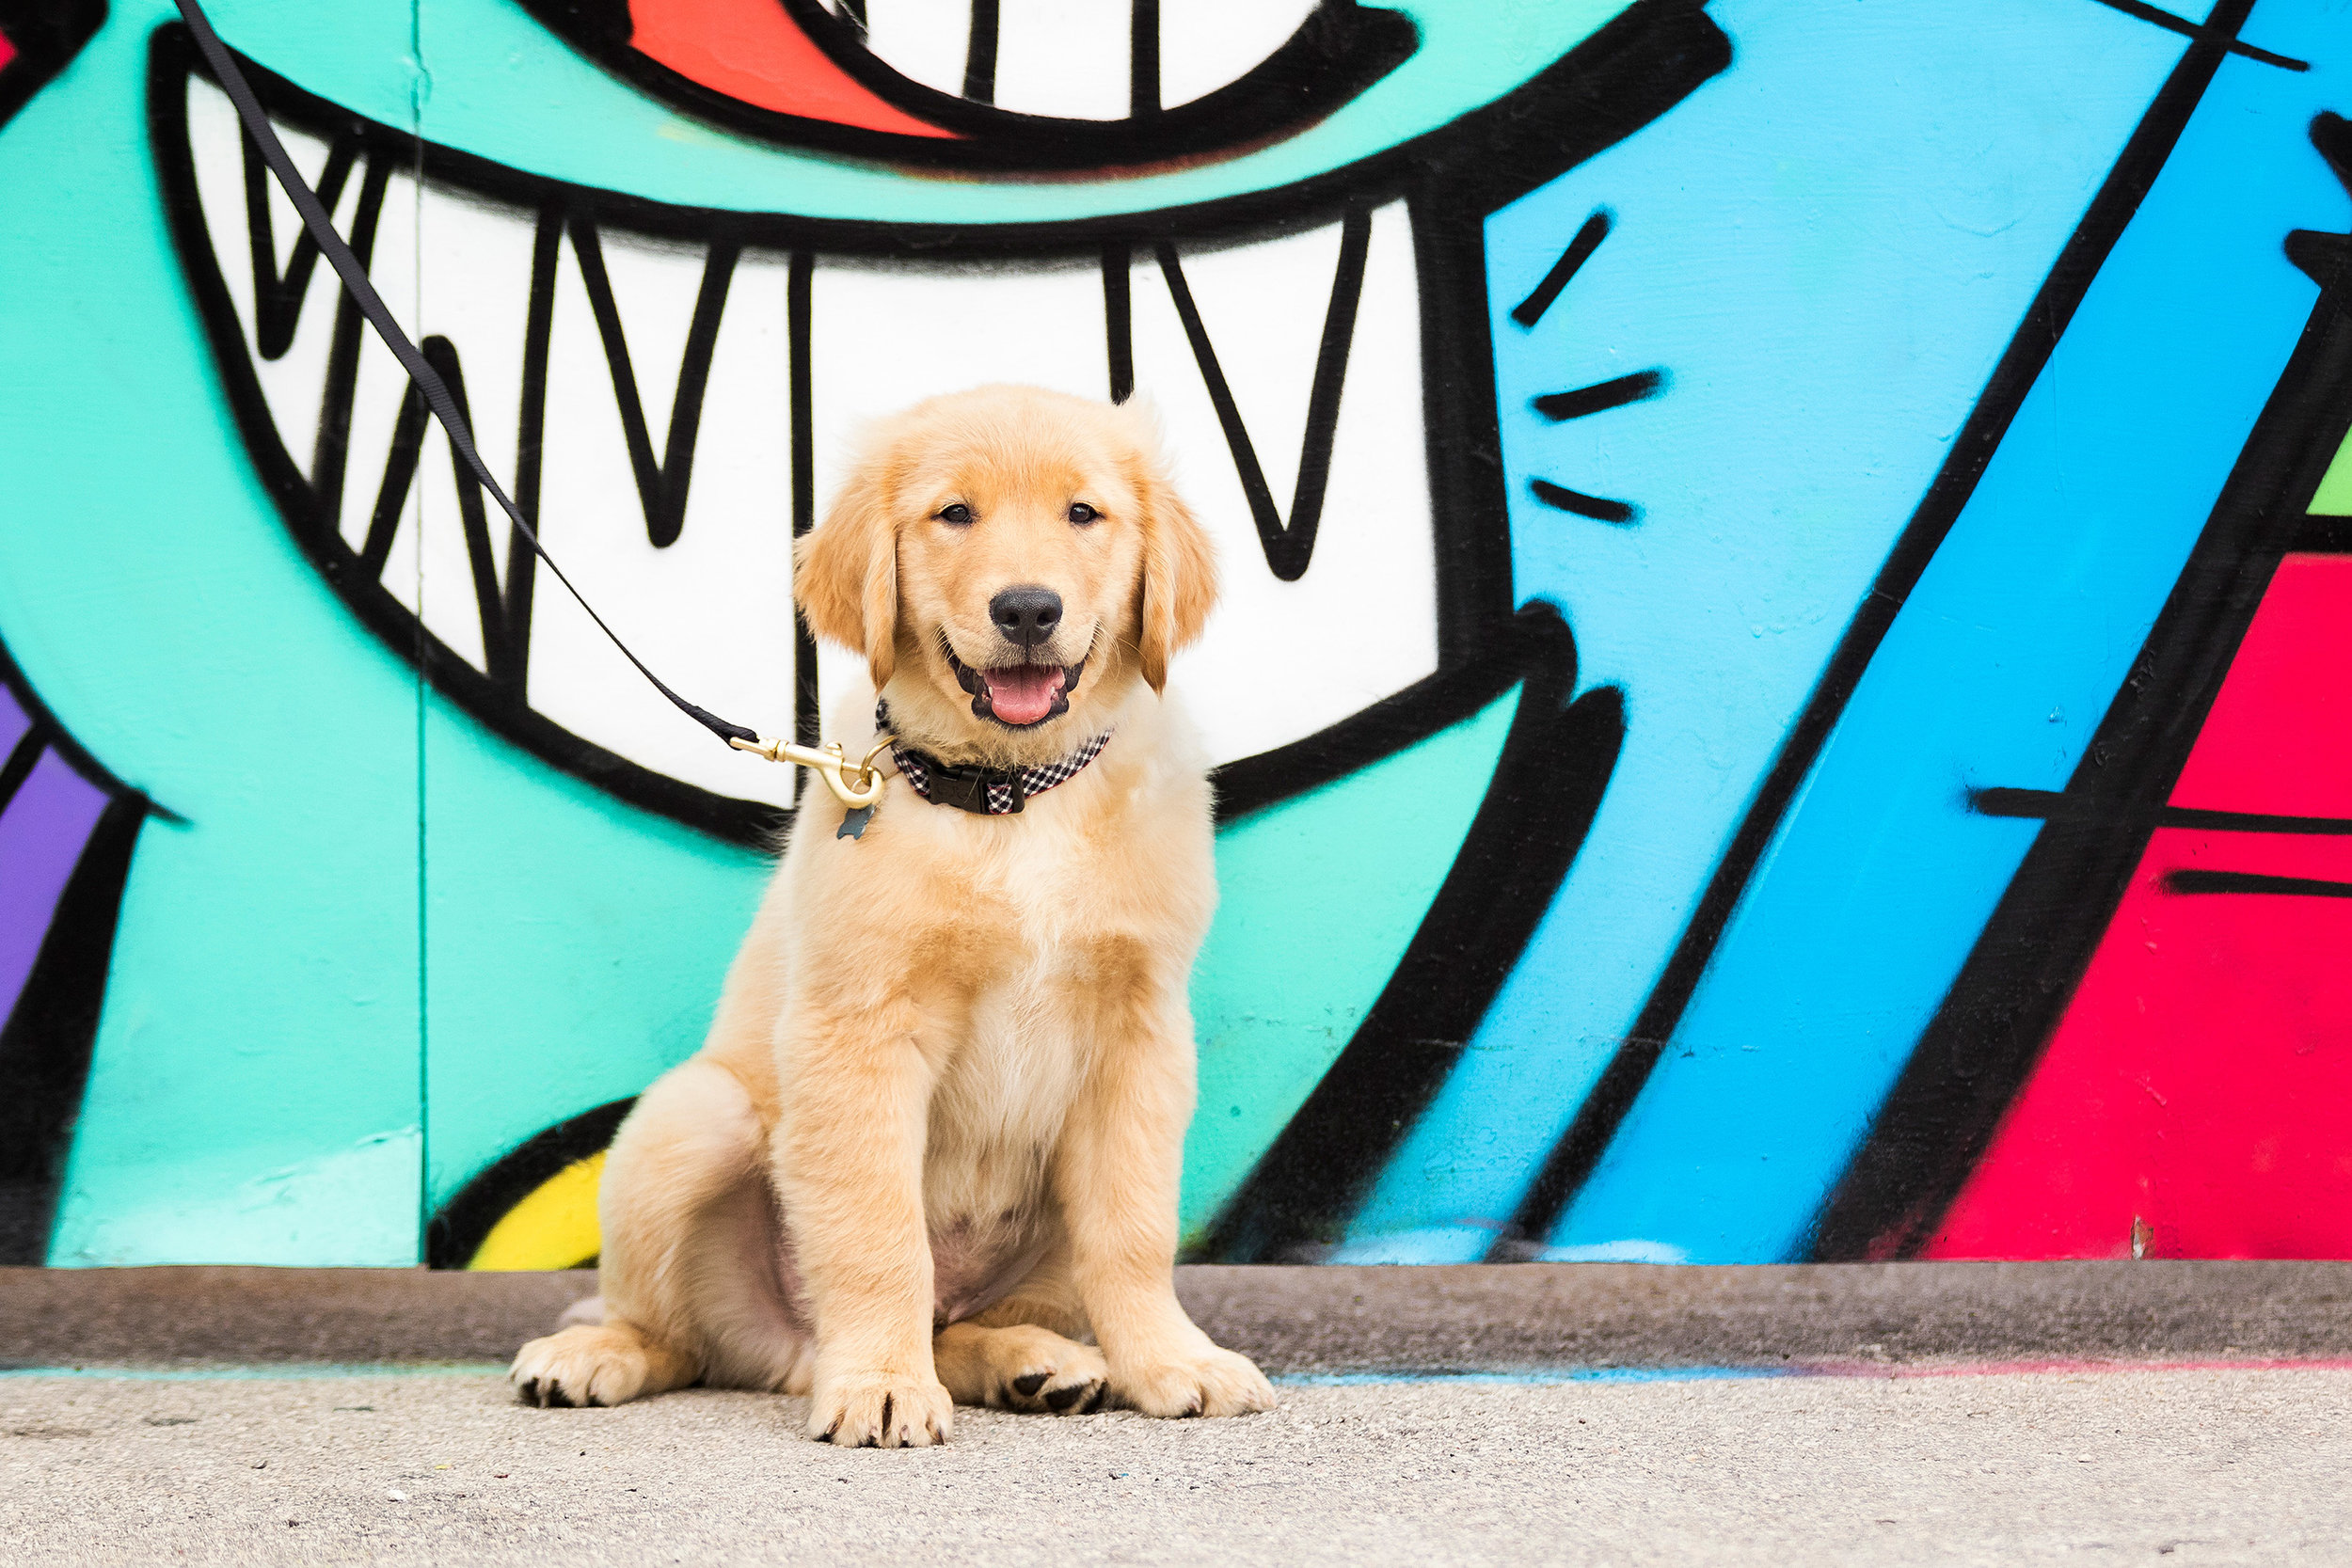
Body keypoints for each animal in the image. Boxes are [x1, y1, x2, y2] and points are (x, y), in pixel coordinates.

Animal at [508, 383, 1279, 1448]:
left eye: (1084, 513)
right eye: (954, 514)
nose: (1027, 608)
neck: (1013, 797)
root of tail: (792, 1352)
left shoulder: (1141, 1034)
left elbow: (1130, 1230)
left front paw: (1171, 1360)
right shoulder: (860, 1028)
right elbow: (879, 1232)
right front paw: (879, 1381)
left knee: (969, 1318)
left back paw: (1031, 1359)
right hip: (692, 1119)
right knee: (678, 1333)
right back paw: (602, 1353)